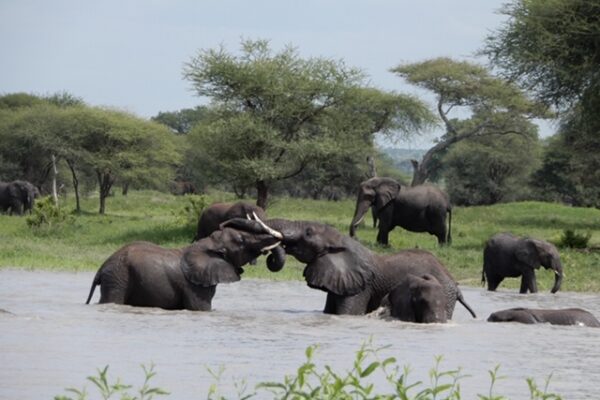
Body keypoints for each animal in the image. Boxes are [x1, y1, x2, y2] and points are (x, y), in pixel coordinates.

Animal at [85, 217, 284, 310]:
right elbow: (200, 308)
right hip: (118, 277)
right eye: (242, 241)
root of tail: (101, 268)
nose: (269, 256)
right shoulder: (194, 286)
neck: (208, 244)